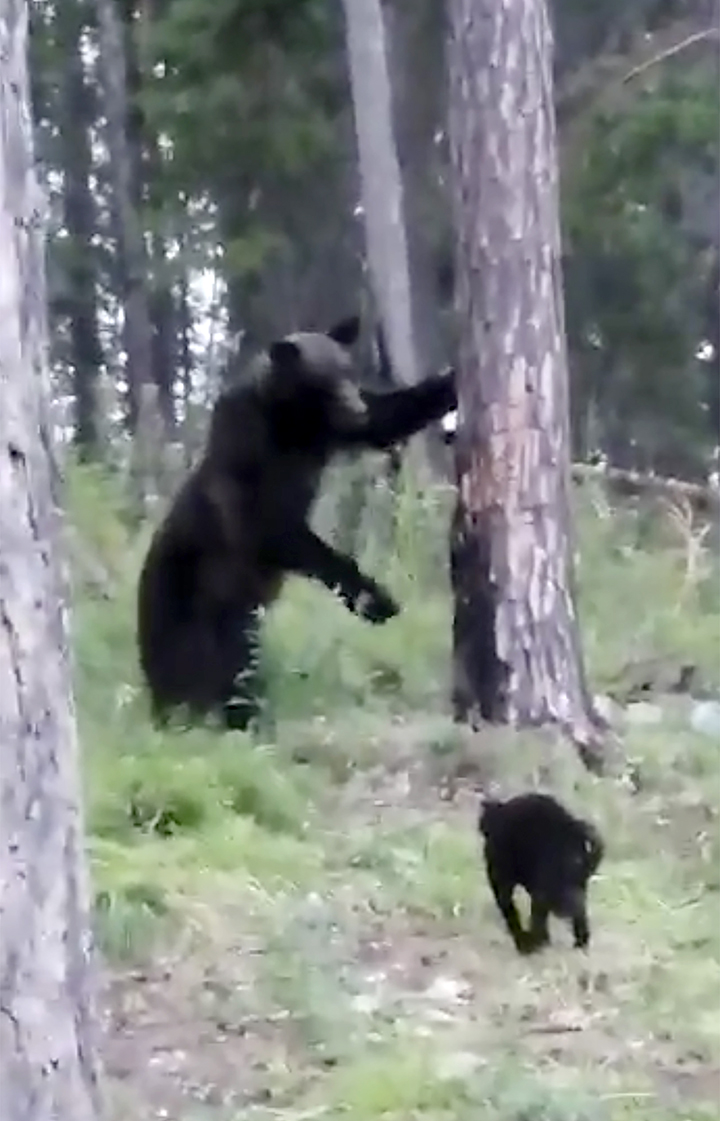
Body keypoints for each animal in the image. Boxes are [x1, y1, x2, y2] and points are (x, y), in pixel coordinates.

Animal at [135, 318, 453, 735]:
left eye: (350, 371)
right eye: (328, 381)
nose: (356, 408)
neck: (291, 422)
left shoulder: (325, 435)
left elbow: (389, 416)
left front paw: (451, 382)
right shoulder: (248, 456)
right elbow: (276, 529)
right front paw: (376, 599)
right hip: (188, 606)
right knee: (209, 667)